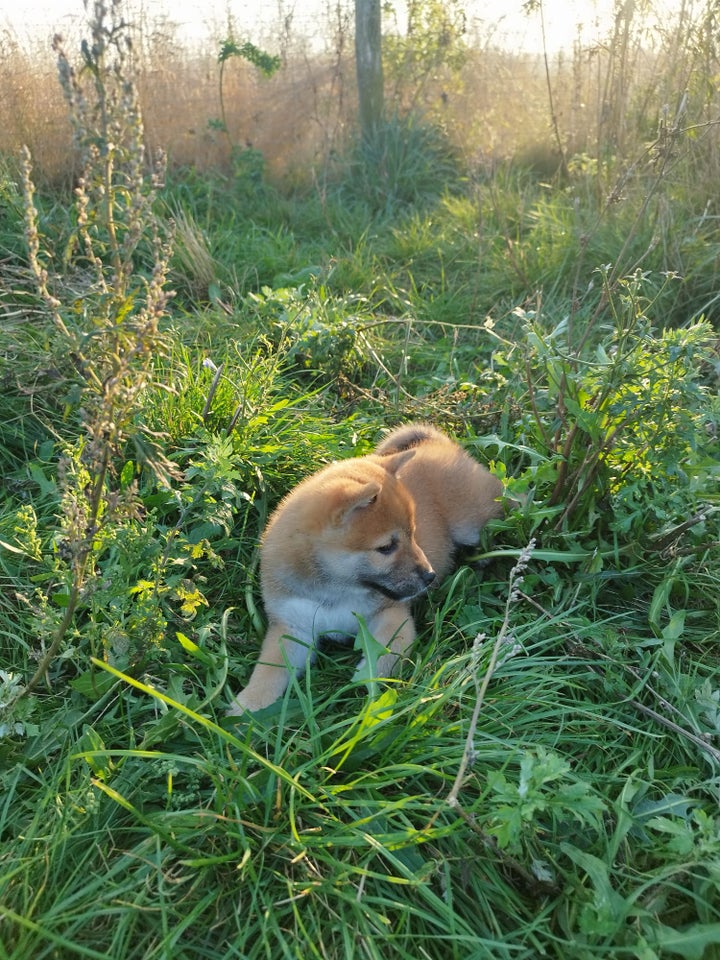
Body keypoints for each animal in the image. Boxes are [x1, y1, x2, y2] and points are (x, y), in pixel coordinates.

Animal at [228, 420, 504, 712]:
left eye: (413, 533)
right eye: (386, 547)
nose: (430, 576)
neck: (335, 591)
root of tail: (437, 443)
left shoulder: (391, 616)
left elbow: (384, 655)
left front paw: (367, 684)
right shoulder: (292, 628)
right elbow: (270, 670)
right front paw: (248, 705)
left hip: (470, 524)